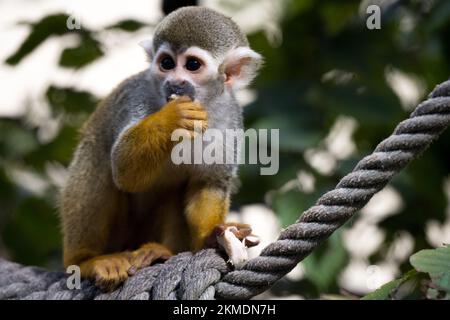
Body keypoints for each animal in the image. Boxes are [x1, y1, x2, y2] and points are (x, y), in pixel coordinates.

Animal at [60, 6, 264, 290]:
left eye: (192, 65)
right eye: (166, 63)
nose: (174, 82)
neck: (204, 105)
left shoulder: (231, 116)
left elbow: (208, 183)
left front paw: (213, 236)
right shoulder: (138, 96)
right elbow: (123, 169)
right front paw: (172, 118)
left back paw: (161, 252)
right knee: (97, 160)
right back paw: (85, 260)